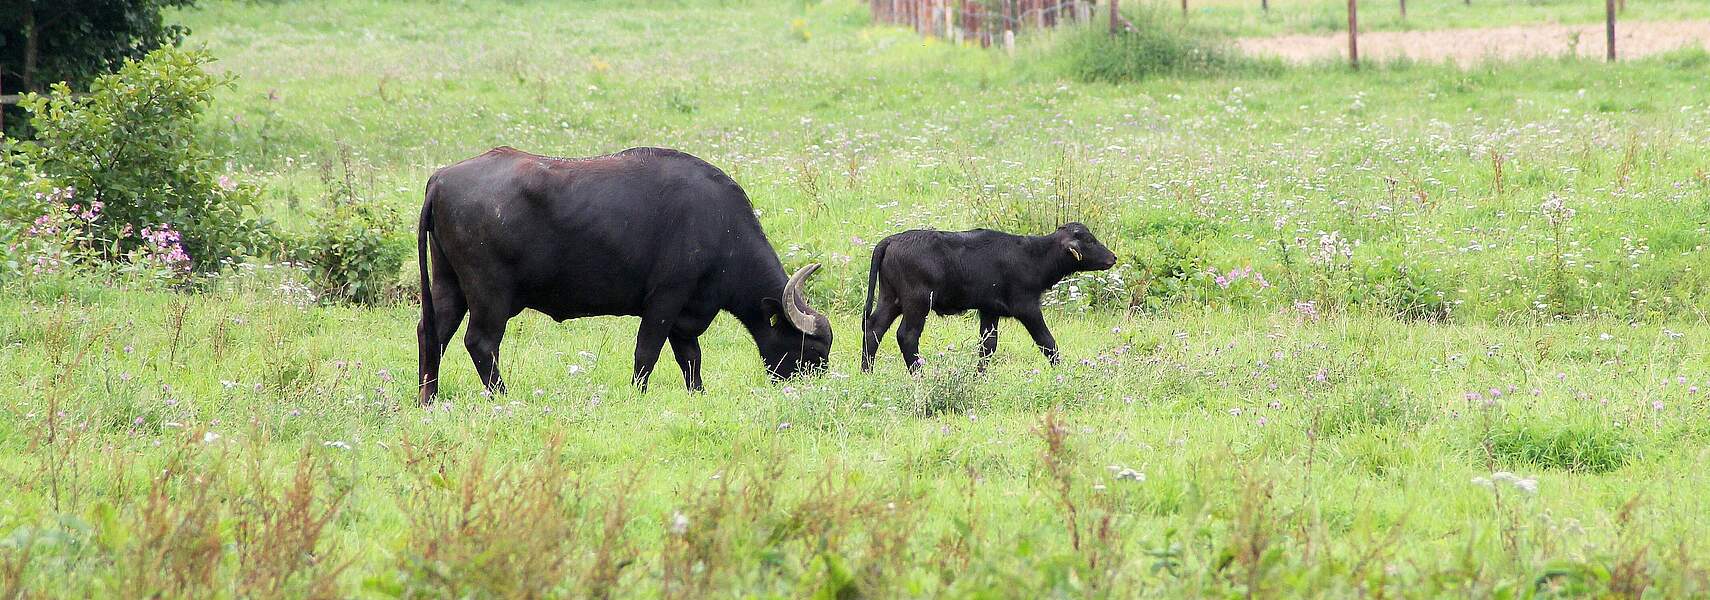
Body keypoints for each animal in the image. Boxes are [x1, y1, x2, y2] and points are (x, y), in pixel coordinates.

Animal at [420, 147, 834, 406]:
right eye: (812, 350)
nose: (815, 388)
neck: (718, 225)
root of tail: (440, 179)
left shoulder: (684, 315)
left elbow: (691, 360)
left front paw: (698, 396)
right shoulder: (666, 299)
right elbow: (646, 353)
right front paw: (639, 397)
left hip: (448, 285)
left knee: (432, 333)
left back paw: (428, 399)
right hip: (490, 294)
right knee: (480, 342)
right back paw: (504, 398)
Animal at [861, 223, 1114, 374]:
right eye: (1089, 240)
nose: (1113, 257)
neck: (1033, 256)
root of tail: (892, 240)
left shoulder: (989, 310)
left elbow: (987, 346)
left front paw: (979, 376)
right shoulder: (1027, 308)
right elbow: (1047, 342)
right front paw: (1061, 371)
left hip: (891, 299)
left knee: (873, 328)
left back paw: (867, 371)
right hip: (917, 303)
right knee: (907, 335)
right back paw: (919, 374)